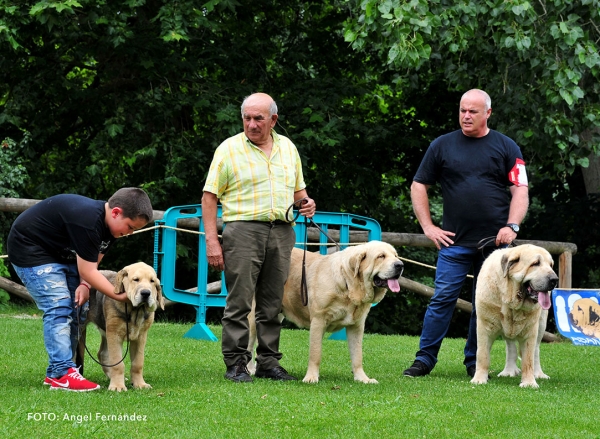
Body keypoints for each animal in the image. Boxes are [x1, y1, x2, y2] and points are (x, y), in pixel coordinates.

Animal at [246, 241, 406, 384]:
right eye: (381, 256)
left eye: (396, 256)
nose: (400, 265)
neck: (348, 285)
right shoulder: (318, 321)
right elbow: (315, 354)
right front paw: (311, 377)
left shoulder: (356, 326)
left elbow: (357, 356)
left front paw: (362, 378)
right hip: (252, 318)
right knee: (249, 345)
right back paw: (249, 369)